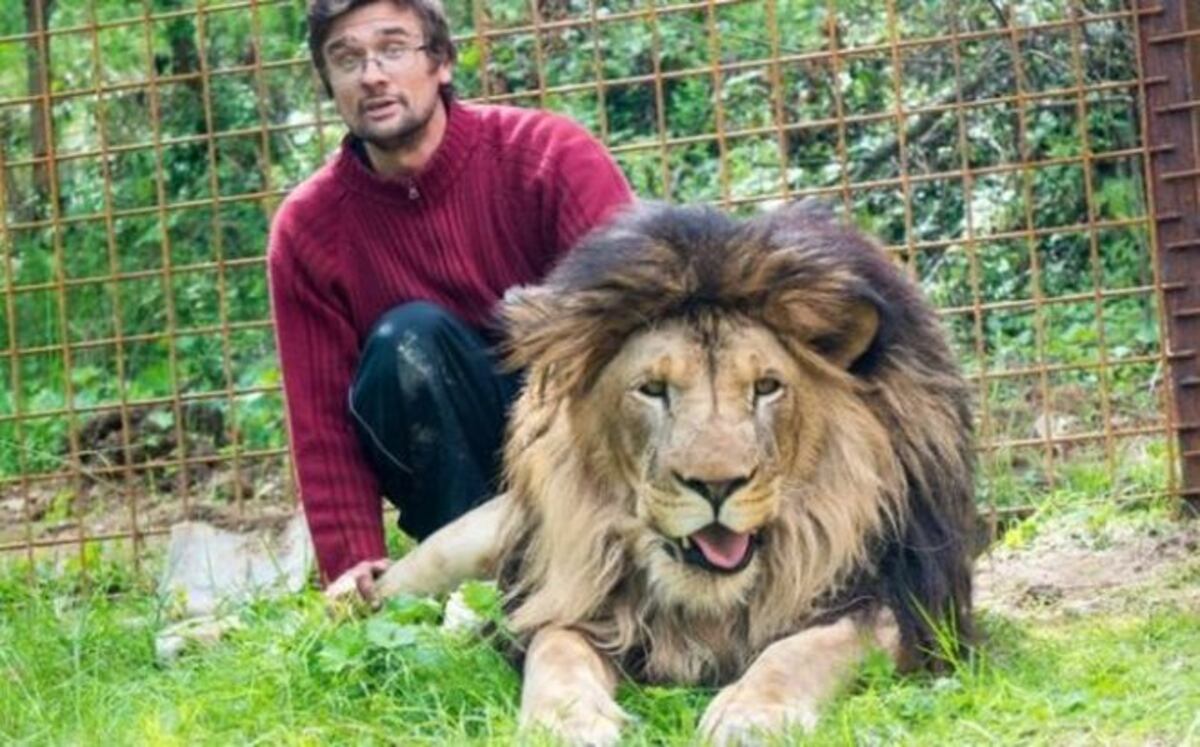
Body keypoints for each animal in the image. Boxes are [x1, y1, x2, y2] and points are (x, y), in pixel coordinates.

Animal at [375, 201, 976, 745]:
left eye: (766, 387)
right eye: (653, 389)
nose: (716, 485)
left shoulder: (908, 605)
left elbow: (808, 647)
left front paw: (752, 714)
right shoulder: (573, 592)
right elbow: (555, 646)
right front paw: (567, 721)